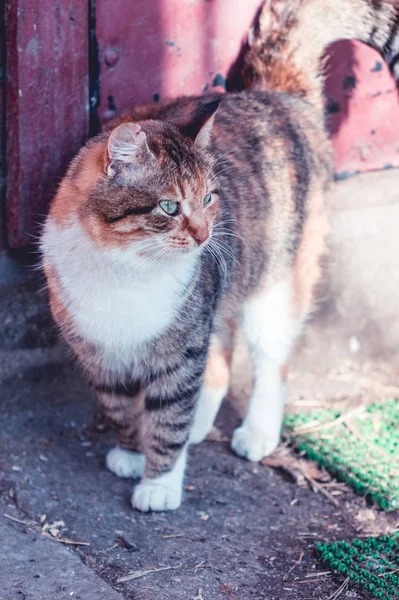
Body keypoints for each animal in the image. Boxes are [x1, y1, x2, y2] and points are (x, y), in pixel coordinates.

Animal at [41, 0, 399, 510]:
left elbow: (169, 416)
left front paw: (160, 483)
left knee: (270, 359)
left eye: (210, 197)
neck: (124, 267)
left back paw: (257, 432)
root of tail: (276, 93)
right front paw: (130, 453)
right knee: (222, 353)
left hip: (275, 284)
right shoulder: (99, 351)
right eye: (170, 207)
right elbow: (119, 406)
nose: (205, 233)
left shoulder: (183, 344)